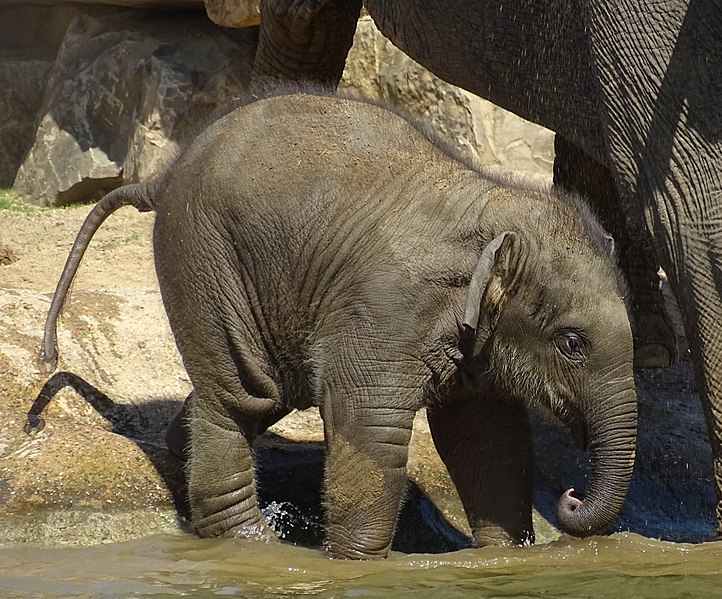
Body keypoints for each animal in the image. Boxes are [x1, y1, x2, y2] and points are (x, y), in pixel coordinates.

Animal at [42, 88, 632, 556]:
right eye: (572, 343)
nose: (571, 496)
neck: (493, 209)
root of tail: (163, 175)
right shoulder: (386, 307)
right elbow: (371, 434)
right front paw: (357, 566)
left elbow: (491, 444)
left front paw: (503, 558)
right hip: (203, 256)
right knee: (239, 397)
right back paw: (254, 547)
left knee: (264, 394)